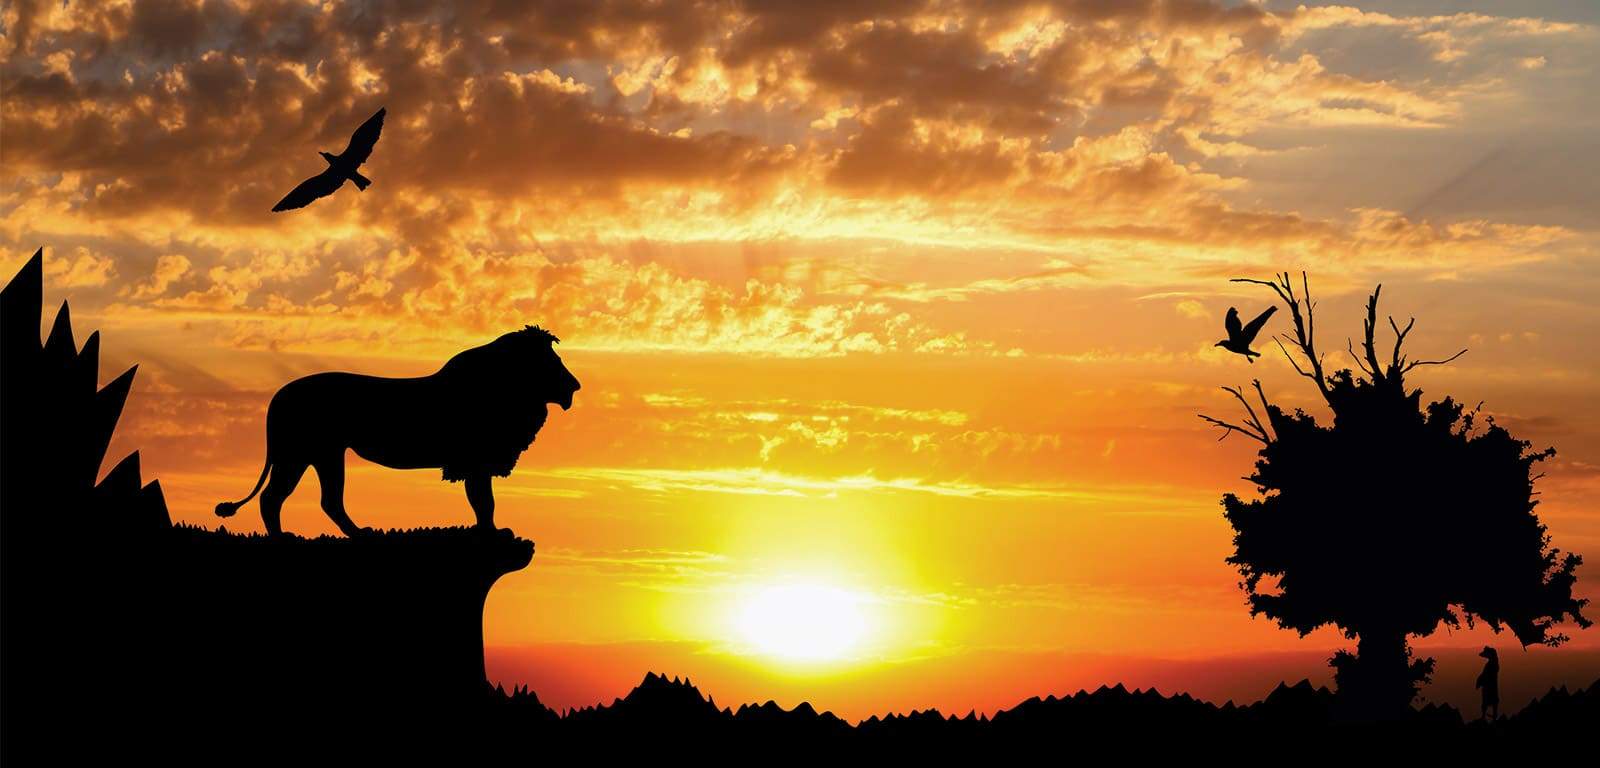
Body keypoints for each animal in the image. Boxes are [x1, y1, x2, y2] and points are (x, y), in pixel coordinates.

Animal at [215, 325, 580, 536]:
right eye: (550, 362)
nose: (574, 386)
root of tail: (278, 396)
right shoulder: (475, 461)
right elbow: (482, 501)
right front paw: (491, 534)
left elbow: (483, 501)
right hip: (303, 452)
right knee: (277, 497)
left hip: (319, 454)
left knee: (321, 500)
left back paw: (358, 534)